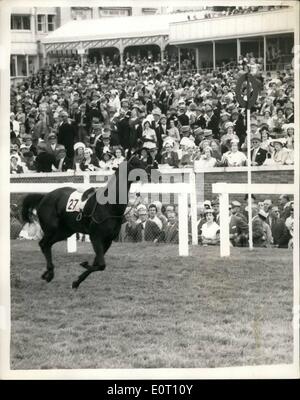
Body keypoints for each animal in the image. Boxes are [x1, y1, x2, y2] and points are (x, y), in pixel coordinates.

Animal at [21, 153, 146, 288]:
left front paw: (77, 280)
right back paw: (49, 272)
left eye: (142, 162)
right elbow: (101, 265)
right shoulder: (96, 237)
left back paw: (48, 273)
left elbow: (98, 263)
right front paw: (84, 266)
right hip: (51, 229)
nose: (149, 172)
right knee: (43, 244)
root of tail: (44, 196)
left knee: (47, 245)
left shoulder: (108, 241)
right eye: (135, 163)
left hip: (64, 231)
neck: (109, 206)